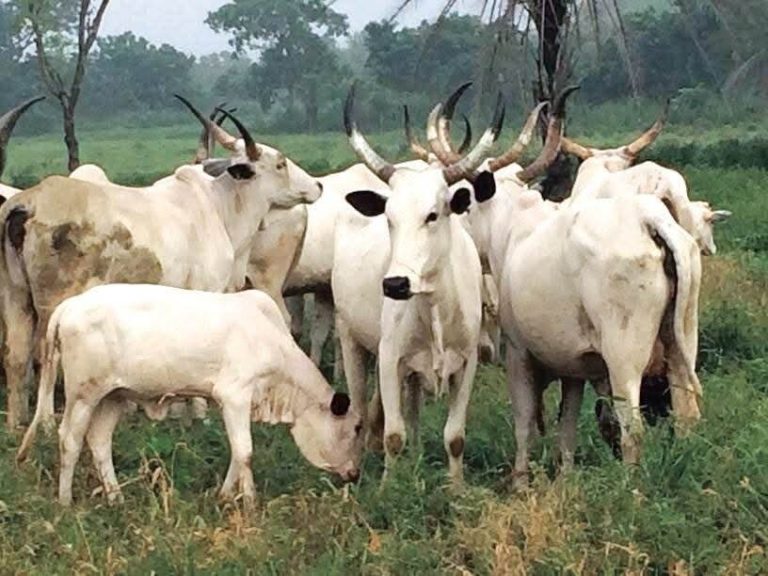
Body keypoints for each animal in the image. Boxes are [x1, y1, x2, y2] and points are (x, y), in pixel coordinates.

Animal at [0, 97, 323, 429]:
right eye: (280, 163)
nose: (317, 186)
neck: (219, 207)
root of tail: (28, 203)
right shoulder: (206, 291)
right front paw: (200, 413)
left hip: (15, 295)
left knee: (15, 354)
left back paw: (14, 423)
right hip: (51, 302)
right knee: (43, 356)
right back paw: (45, 423)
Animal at [16, 284, 363, 506]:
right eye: (355, 428)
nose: (355, 474)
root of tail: (71, 304)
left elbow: (237, 453)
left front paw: (225, 495)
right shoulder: (234, 395)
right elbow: (246, 452)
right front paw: (250, 503)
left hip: (113, 396)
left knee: (99, 442)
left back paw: (117, 498)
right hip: (83, 395)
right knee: (70, 440)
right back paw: (65, 502)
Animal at [331, 85, 504, 482]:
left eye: (433, 215)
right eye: (389, 218)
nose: (395, 284)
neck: (436, 307)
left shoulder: (467, 362)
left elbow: (454, 436)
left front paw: (455, 487)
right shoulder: (390, 358)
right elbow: (393, 435)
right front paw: (389, 486)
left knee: (413, 411)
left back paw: (418, 461)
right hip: (350, 338)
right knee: (360, 412)